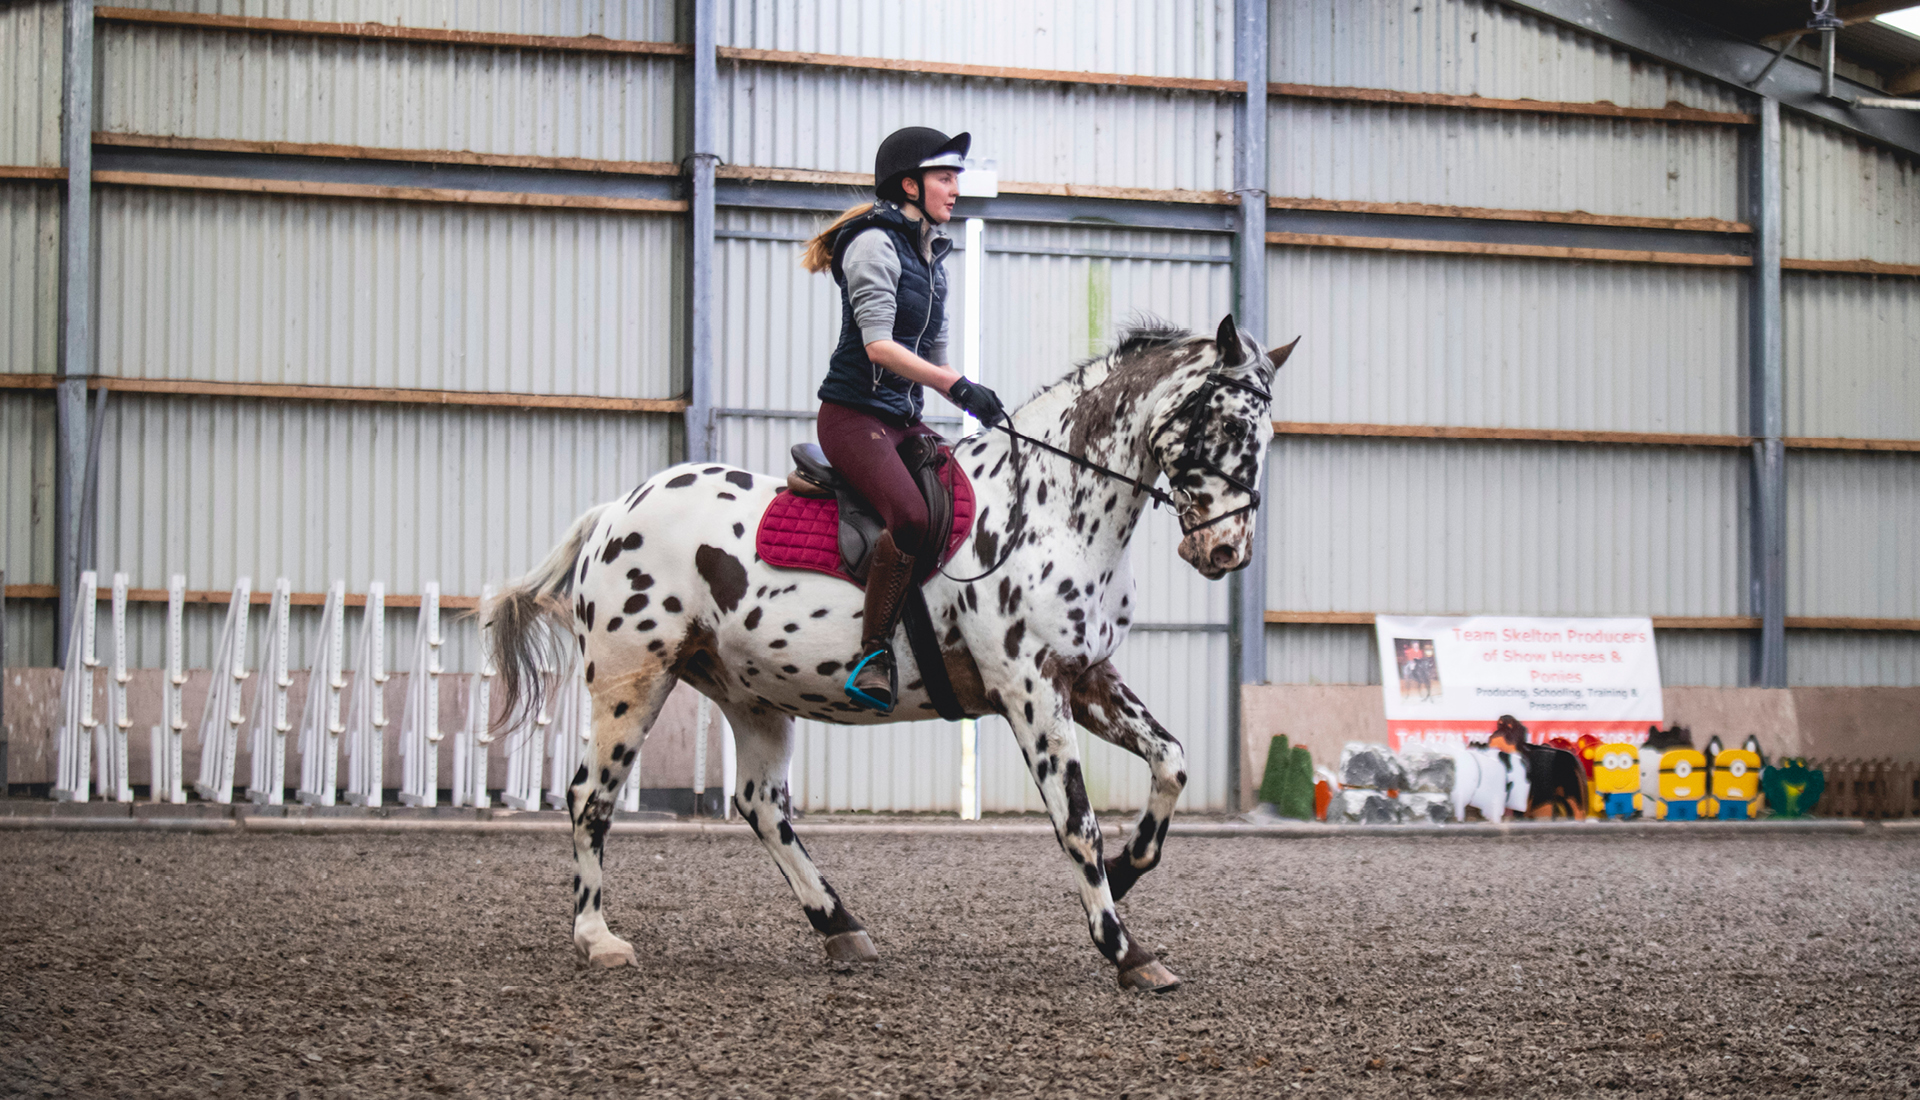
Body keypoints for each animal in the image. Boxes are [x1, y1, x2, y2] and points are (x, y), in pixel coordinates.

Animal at [487, 312, 1297, 990]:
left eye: (1266, 436)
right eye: (1226, 423)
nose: (1226, 550)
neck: (1052, 509)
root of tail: (615, 512)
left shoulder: (1087, 676)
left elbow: (1173, 761)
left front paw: (1129, 871)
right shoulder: (1030, 689)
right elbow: (1077, 821)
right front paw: (1126, 950)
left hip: (752, 695)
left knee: (761, 804)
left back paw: (840, 927)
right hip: (632, 679)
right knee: (591, 796)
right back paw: (597, 938)